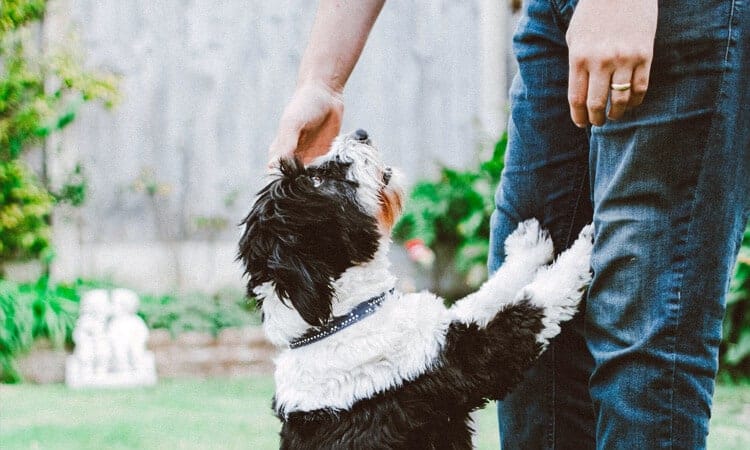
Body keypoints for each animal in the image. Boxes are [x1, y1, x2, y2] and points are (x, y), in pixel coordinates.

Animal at [238, 128, 596, 448]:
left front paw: (528, 247)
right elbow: (535, 305)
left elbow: (486, 295)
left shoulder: (444, 331)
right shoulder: (470, 361)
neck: (343, 319)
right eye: (316, 181)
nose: (360, 133)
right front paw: (586, 244)